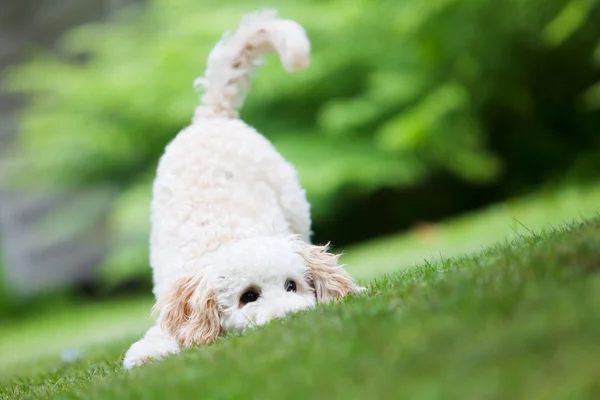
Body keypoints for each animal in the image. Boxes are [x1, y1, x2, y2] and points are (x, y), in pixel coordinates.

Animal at [123, 9, 360, 370]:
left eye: (292, 286)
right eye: (248, 296)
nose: (293, 317)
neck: (228, 239)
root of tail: (211, 117)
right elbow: (152, 345)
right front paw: (148, 356)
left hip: (296, 209)